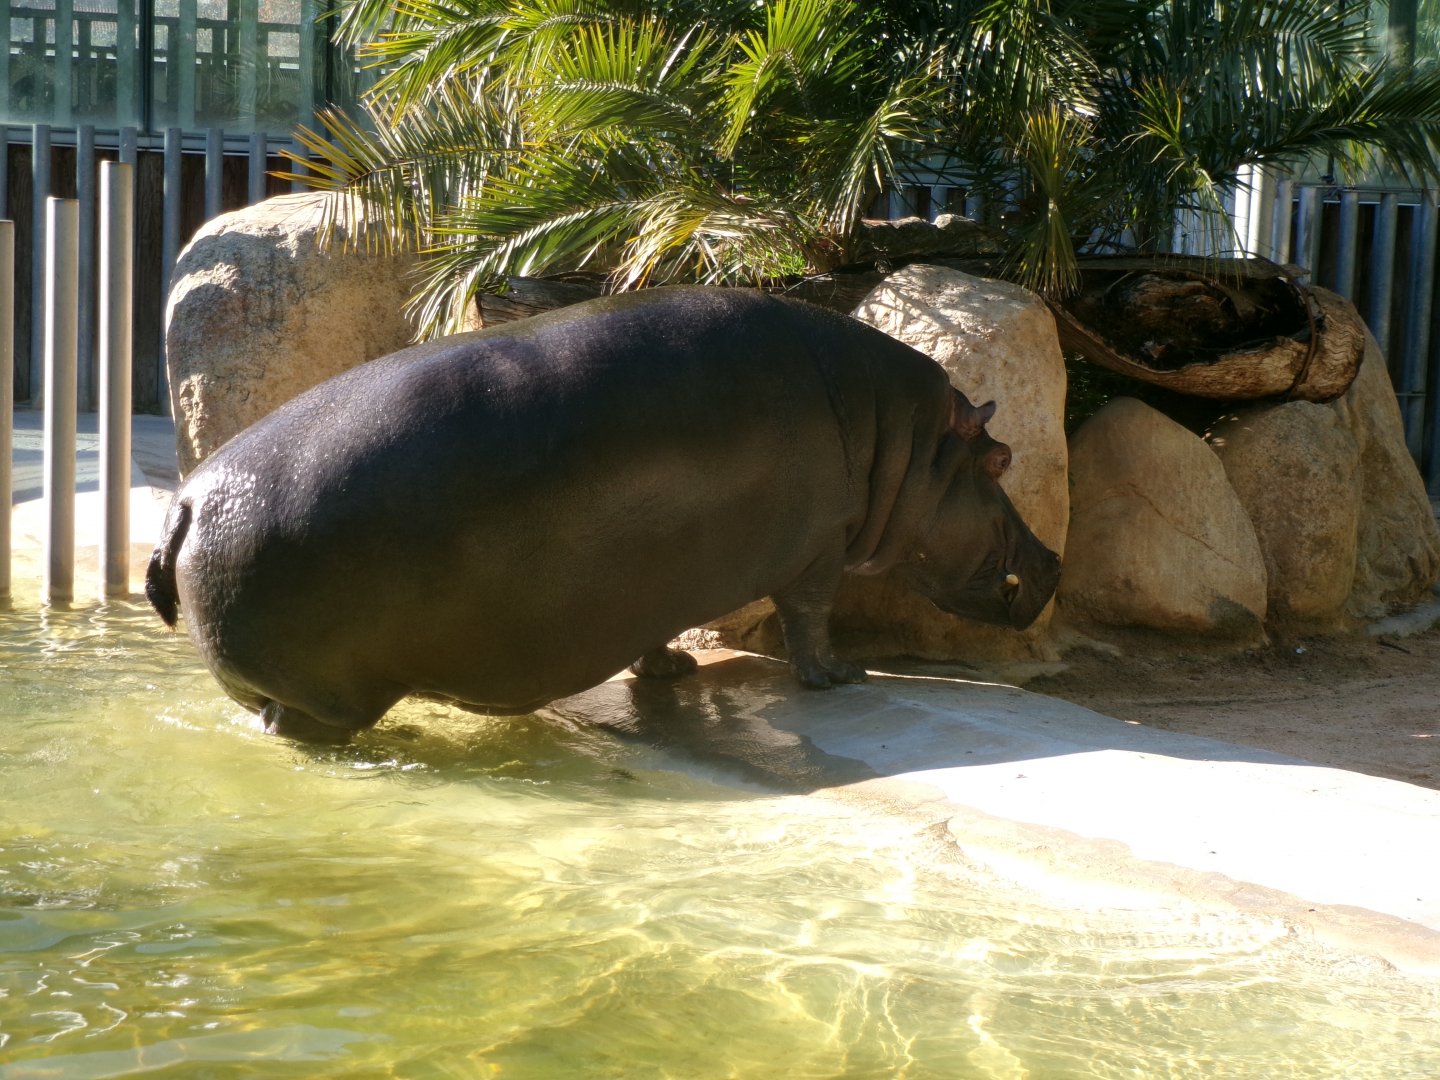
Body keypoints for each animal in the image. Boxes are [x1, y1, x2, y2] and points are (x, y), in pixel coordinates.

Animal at [146, 286, 1060, 742]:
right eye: (1002, 461)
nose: (1052, 560)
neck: (898, 440)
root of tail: (186, 501)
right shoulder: (818, 549)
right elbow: (810, 619)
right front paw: (841, 679)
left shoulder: (666, 574)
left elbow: (661, 627)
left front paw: (673, 672)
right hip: (318, 698)